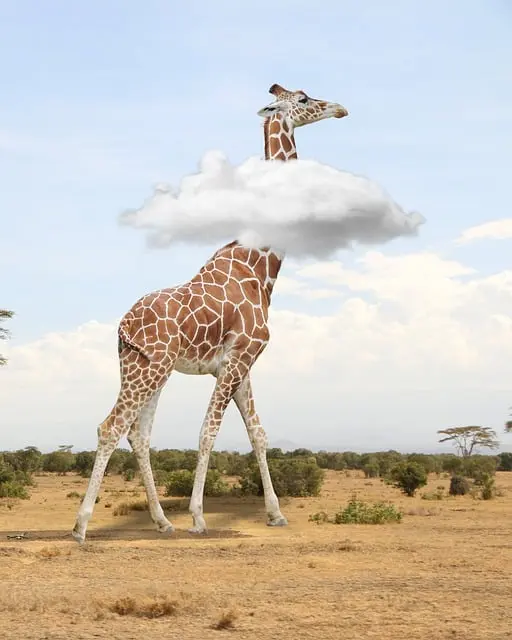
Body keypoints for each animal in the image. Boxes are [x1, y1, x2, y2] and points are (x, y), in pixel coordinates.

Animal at [72, 84, 348, 543]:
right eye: (305, 98)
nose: (340, 109)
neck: (261, 267)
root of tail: (122, 327)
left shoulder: (240, 364)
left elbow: (258, 433)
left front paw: (275, 514)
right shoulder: (238, 359)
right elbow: (208, 433)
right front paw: (199, 517)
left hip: (145, 367)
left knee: (138, 434)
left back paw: (162, 521)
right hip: (151, 368)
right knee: (112, 426)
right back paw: (81, 525)